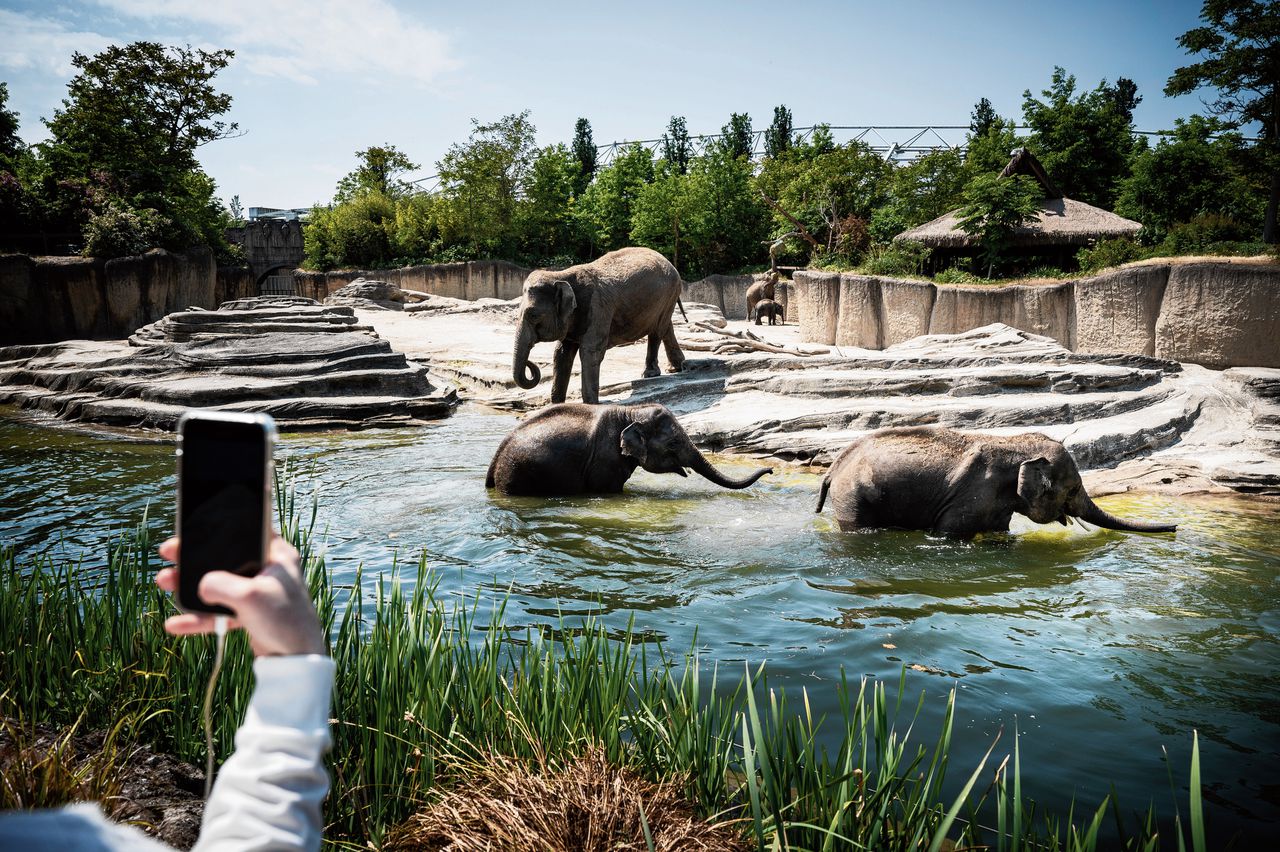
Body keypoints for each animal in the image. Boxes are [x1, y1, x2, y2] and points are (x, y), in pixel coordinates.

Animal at [509, 245, 691, 404]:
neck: (562, 275)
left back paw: (651, 374)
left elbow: (591, 351)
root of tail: (669, 262)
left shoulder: (598, 308)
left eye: (533, 315)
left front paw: (591, 404)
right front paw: (556, 405)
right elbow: (561, 353)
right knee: (665, 327)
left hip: (668, 293)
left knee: (657, 331)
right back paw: (676, 368)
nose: (530, 363)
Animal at [814, 424, 1172, 537]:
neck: (1017, 445)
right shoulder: (970, 498)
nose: (1175, 528)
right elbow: (947, 535)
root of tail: (834, 466)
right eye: (1071, 490)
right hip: (853, 496)